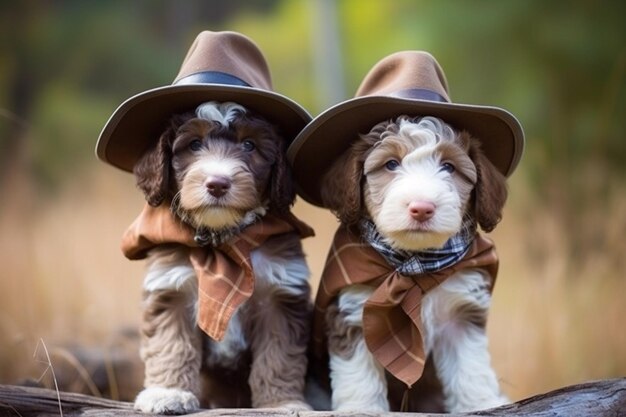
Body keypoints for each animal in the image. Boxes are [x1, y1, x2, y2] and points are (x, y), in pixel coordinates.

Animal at [127, 101, 312, 412]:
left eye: (249, 144)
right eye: (194, 144)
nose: (217, 183)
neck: (222, 239)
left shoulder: (281, 294)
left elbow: (278, 355)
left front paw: (282, 403)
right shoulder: (170, 287)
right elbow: (172, 344)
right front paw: (168, 393)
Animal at [316, 115, 508, 412]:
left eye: (448, 167)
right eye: (391, 164)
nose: (422, 208)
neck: (412, 266)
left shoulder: (461, 314)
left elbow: (470, 365)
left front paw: (481, 403)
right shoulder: (352, 312)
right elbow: (358, 372)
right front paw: (363, 408)